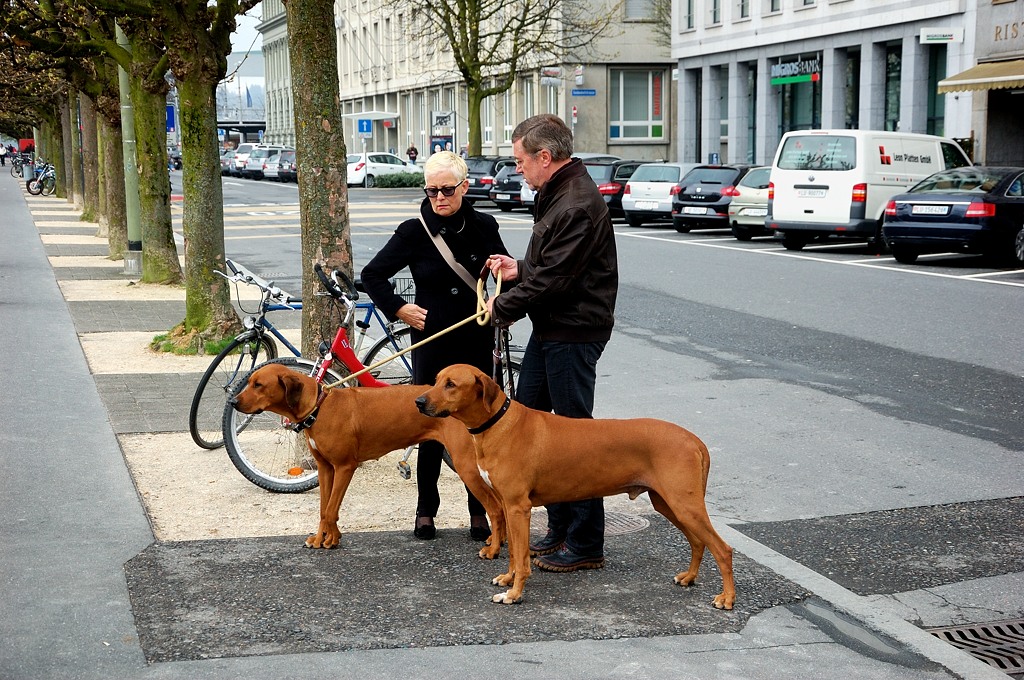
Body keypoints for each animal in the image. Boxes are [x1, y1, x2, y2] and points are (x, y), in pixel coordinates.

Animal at [232, 360, 503, 557]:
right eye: (250, 382)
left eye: (258, 385)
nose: (233, 401)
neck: (319, 407)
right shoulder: (325, 468)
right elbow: (323, 508)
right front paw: (323, 538)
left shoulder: (344, 467)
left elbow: (331, 509)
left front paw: (331, 540)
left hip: (467, 466)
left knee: (495, 506)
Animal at [415, 364, 737, 606]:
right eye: (436, 380)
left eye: (451, 384)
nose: (418, 402)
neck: (498, 423)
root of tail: (694, 440)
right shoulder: (507, 505)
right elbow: (513, 552)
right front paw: (507, 579)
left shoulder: (519, 507)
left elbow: (522, 557)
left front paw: (514, 593)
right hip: (667, 503)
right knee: (698, 541)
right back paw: (689, 577)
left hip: (684, 503)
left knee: (722, 549)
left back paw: (727, 598)